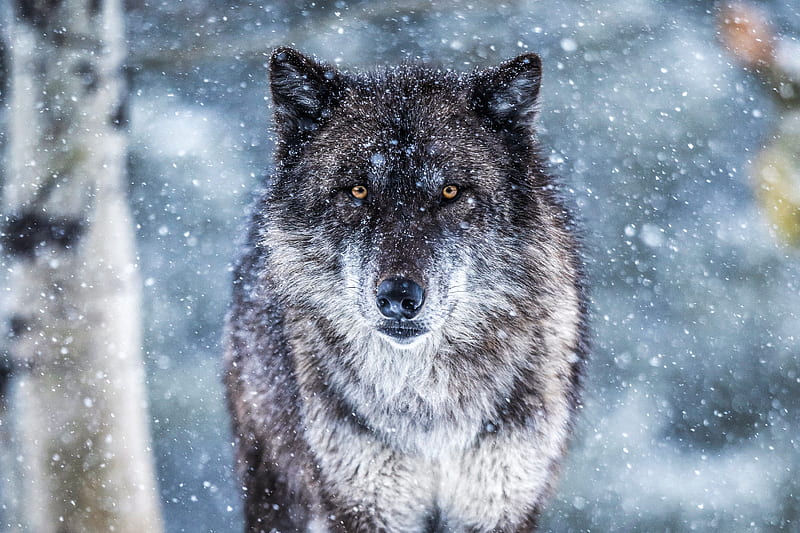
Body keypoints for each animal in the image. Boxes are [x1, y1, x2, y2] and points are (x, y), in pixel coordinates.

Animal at [225, 46, 588, 532]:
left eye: (451, 192)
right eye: (358, 191)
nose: (398, 297)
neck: (428, 408)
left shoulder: (499, 502)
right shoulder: (364, 505)